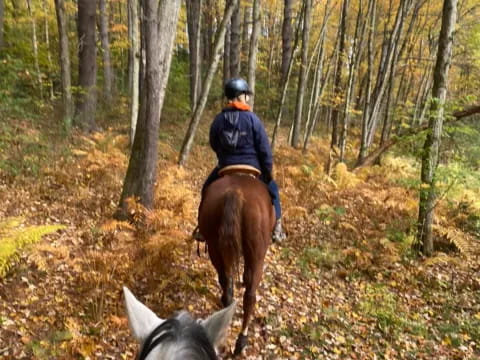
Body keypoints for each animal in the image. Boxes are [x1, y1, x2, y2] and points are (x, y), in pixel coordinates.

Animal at [198, 173, 274, 356]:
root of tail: (236, 191)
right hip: (257, 255)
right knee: (250, 295)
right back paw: (242, 341)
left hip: (214, 245)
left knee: (224, 276)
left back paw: (227, 302)